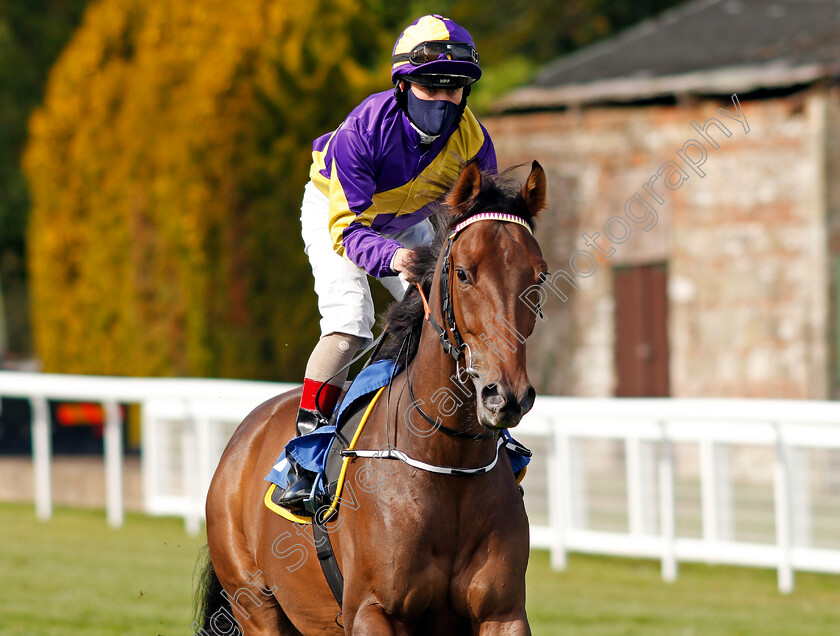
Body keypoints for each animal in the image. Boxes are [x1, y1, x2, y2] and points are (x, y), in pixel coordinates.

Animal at [198, 160, 552, 636]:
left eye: (539, 276)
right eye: (463, 273)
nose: (506, 395)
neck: (448, 461)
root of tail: (243, 436)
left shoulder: (503, 612)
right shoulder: (372, 610)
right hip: (255, 604)